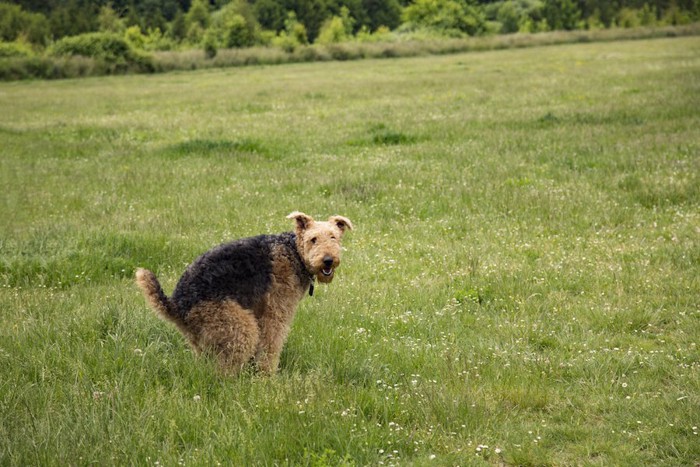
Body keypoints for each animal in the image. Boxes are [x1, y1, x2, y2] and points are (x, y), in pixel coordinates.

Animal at [137, 212, 352, 376]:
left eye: (333, 237)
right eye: (313, 239)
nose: (328, 260)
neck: (294, 253)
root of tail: (175, 305)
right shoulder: (276, 311)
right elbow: (270, 345)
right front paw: (267, 376)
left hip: (202, 338)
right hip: (238, 326)